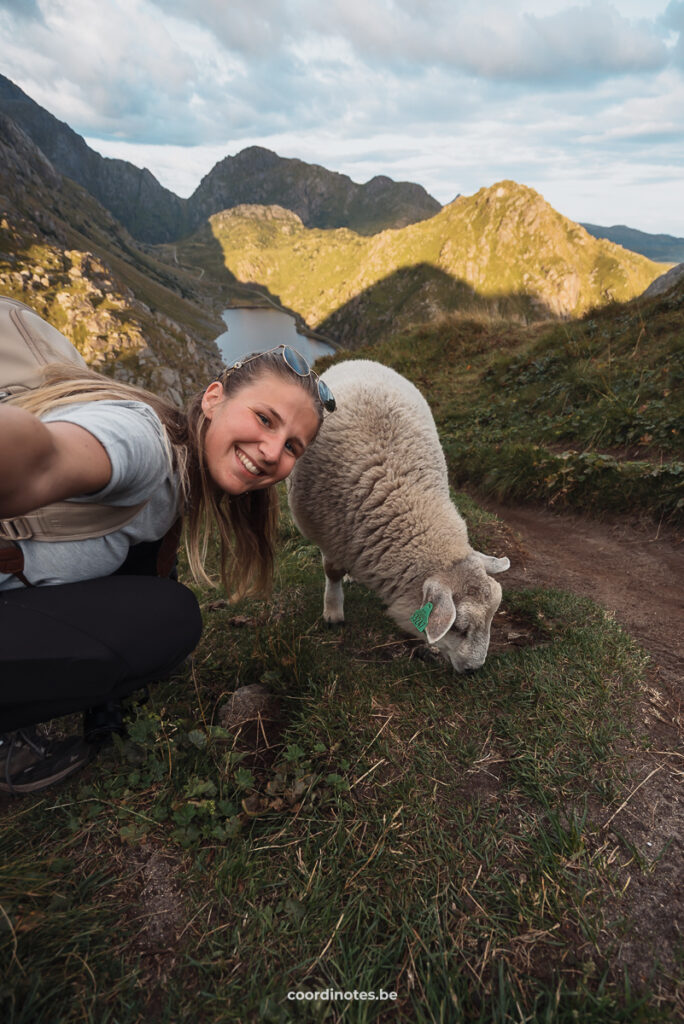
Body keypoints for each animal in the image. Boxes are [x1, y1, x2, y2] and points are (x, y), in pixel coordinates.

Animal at [286, 360, 509, 671]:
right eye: (458, 627)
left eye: (490, 619)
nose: (474, 670)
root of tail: (361, 360)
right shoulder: (327, 530)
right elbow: (332, 571)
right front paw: (333, 611)